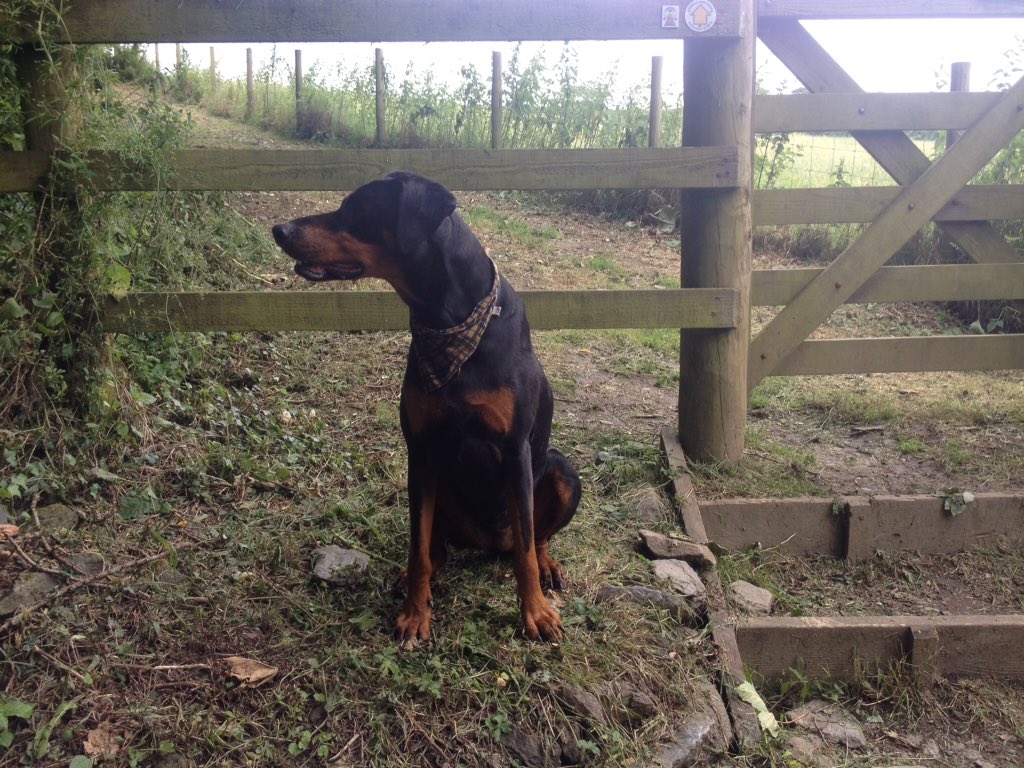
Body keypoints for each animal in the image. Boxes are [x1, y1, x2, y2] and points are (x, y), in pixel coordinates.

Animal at [272, 174, 581, 643]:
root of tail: (491, 544)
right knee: (435, 548)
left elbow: (527, 547)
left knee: (533, 538)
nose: (280, 230)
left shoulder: (515, 451)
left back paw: (547, 566)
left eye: (356, 209)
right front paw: (415, 615)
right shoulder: (420, 452)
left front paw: (536, 614)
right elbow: (416, 547)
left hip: (562, 470)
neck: (448, 322)